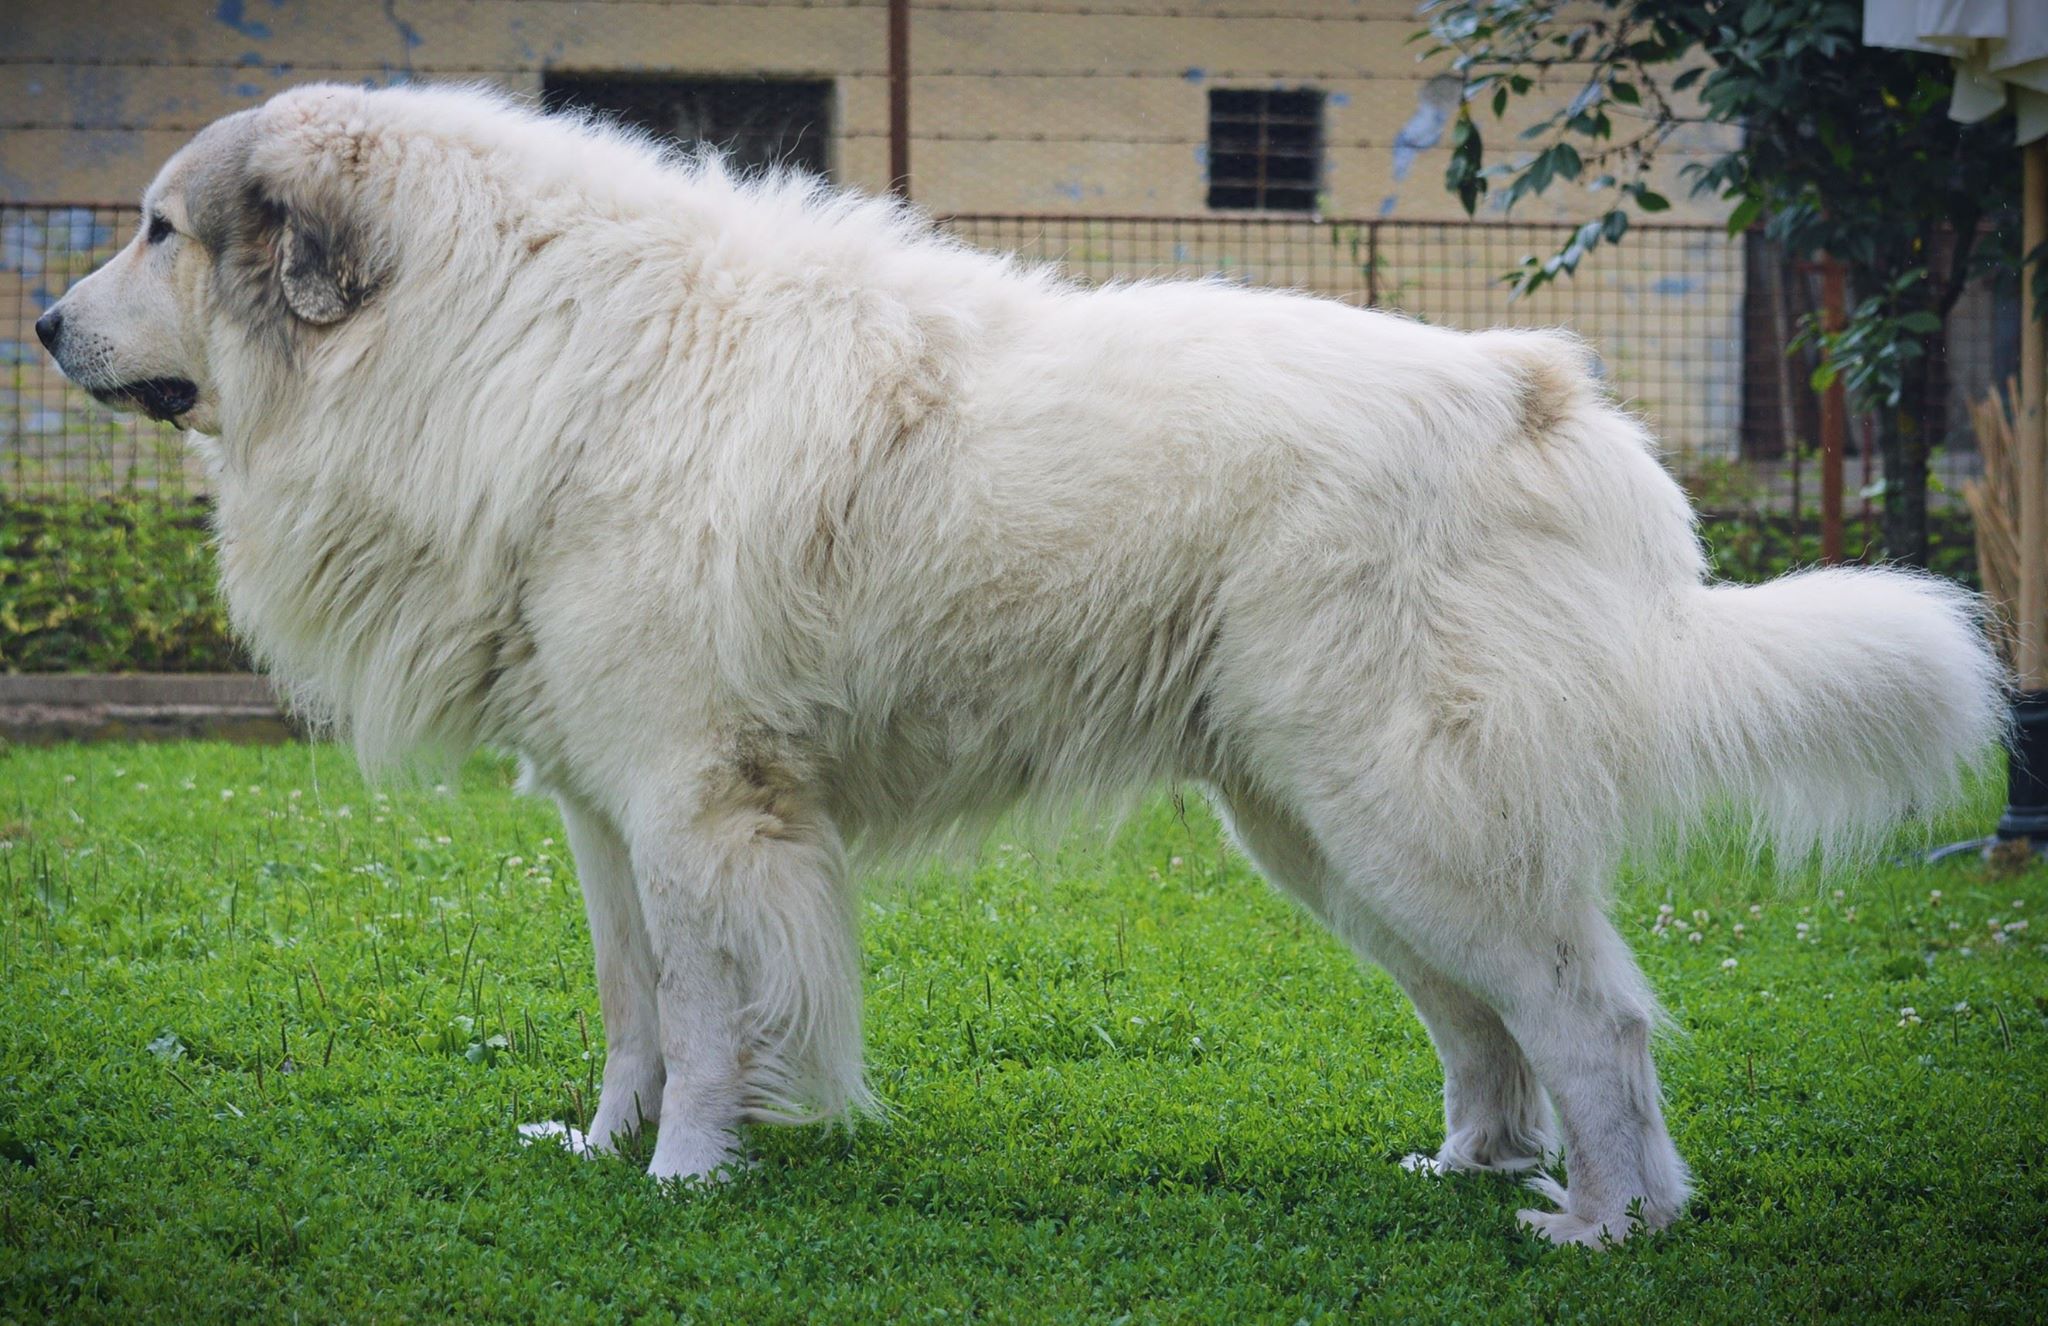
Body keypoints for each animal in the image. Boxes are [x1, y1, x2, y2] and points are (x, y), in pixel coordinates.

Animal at [44, 80, 1998, 1246]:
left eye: (157, 230)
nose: (47, 321)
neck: (489, 330)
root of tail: (1542, 390)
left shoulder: (695, 801)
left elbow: (703, 1010)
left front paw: (685, 1181)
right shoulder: (605, 811)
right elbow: (627, 1006)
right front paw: (604, 1153)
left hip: (1403, 807)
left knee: (1587, 1014)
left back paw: (1603, 1226)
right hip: (1327, 836)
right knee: (1486, 1021)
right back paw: (1469, 1171)